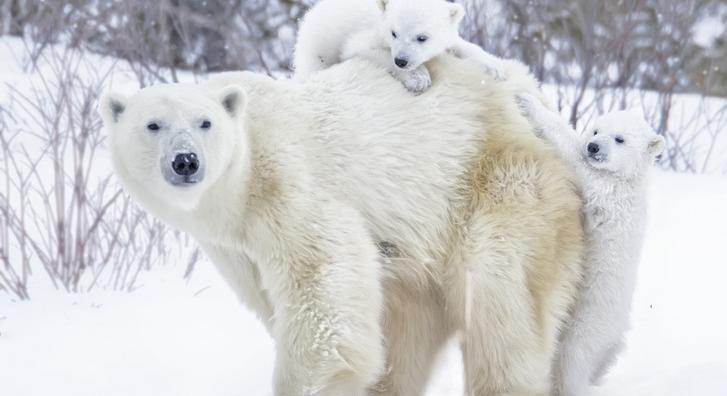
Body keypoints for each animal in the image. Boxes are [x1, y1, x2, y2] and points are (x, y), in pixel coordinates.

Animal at [99, 54, 584, 394]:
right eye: (153, 125)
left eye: (205, 123)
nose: (186, 161)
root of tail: (534, 94)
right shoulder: (233, 245)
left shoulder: (288, 185)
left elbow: (321, 291)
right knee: (407, 322)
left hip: (500, 181)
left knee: (500, 303)